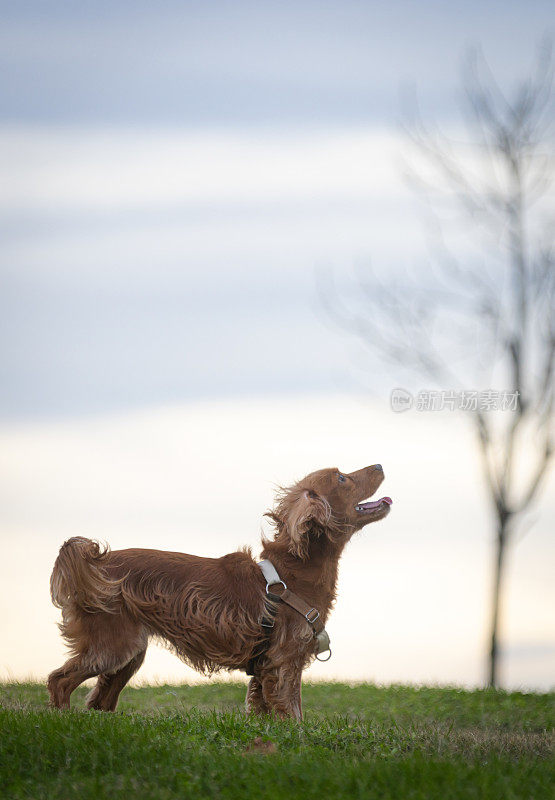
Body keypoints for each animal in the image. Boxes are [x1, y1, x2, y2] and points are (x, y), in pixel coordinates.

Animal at [48, 462, 390, 720]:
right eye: (342, 477)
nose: (380, 465)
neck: (295, 570)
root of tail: (97, 561)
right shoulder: (285, 661)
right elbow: (294, 713)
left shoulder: (265, 668)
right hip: (113, 647)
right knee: (59, 681)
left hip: (129, 653)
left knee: (100, 701)